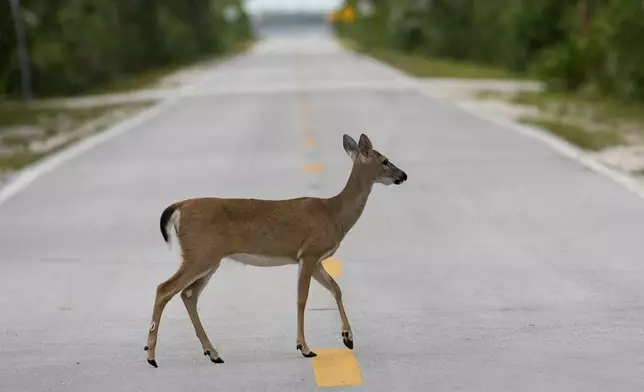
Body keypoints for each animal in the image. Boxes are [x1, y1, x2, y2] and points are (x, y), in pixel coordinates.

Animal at [146, 132, 408, 368]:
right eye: (385, 160)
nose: (403, 175)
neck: (334, 213)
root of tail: (179, 207)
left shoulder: (315, 259)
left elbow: (336, 288)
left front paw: (348, 338)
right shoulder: (309, 252)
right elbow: (302, 298)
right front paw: (305, 347)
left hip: (209, 259)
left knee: (188, 294)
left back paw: (213, 353)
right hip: (200, 253)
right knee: (164, 288)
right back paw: (151, 356)